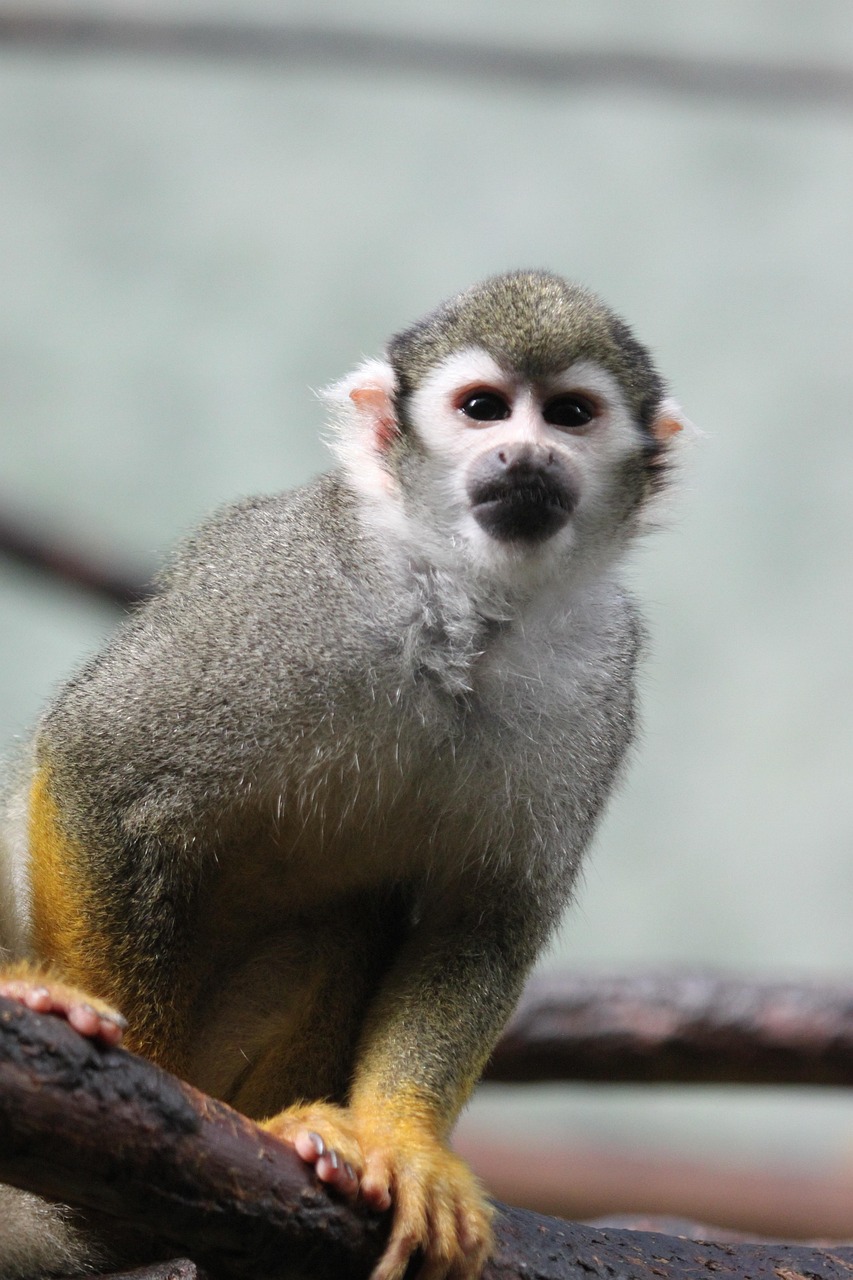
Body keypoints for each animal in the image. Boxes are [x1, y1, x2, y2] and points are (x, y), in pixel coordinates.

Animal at [0, 270, 685, 1280]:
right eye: (483, 409)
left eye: (570, 414)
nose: (525, 454)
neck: (458, 605)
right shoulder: (279, 591)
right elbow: (102, 761)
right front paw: (143, 1083)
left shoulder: (600, 677)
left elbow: (485, 917)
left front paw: (403, 1143)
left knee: (340, 922)